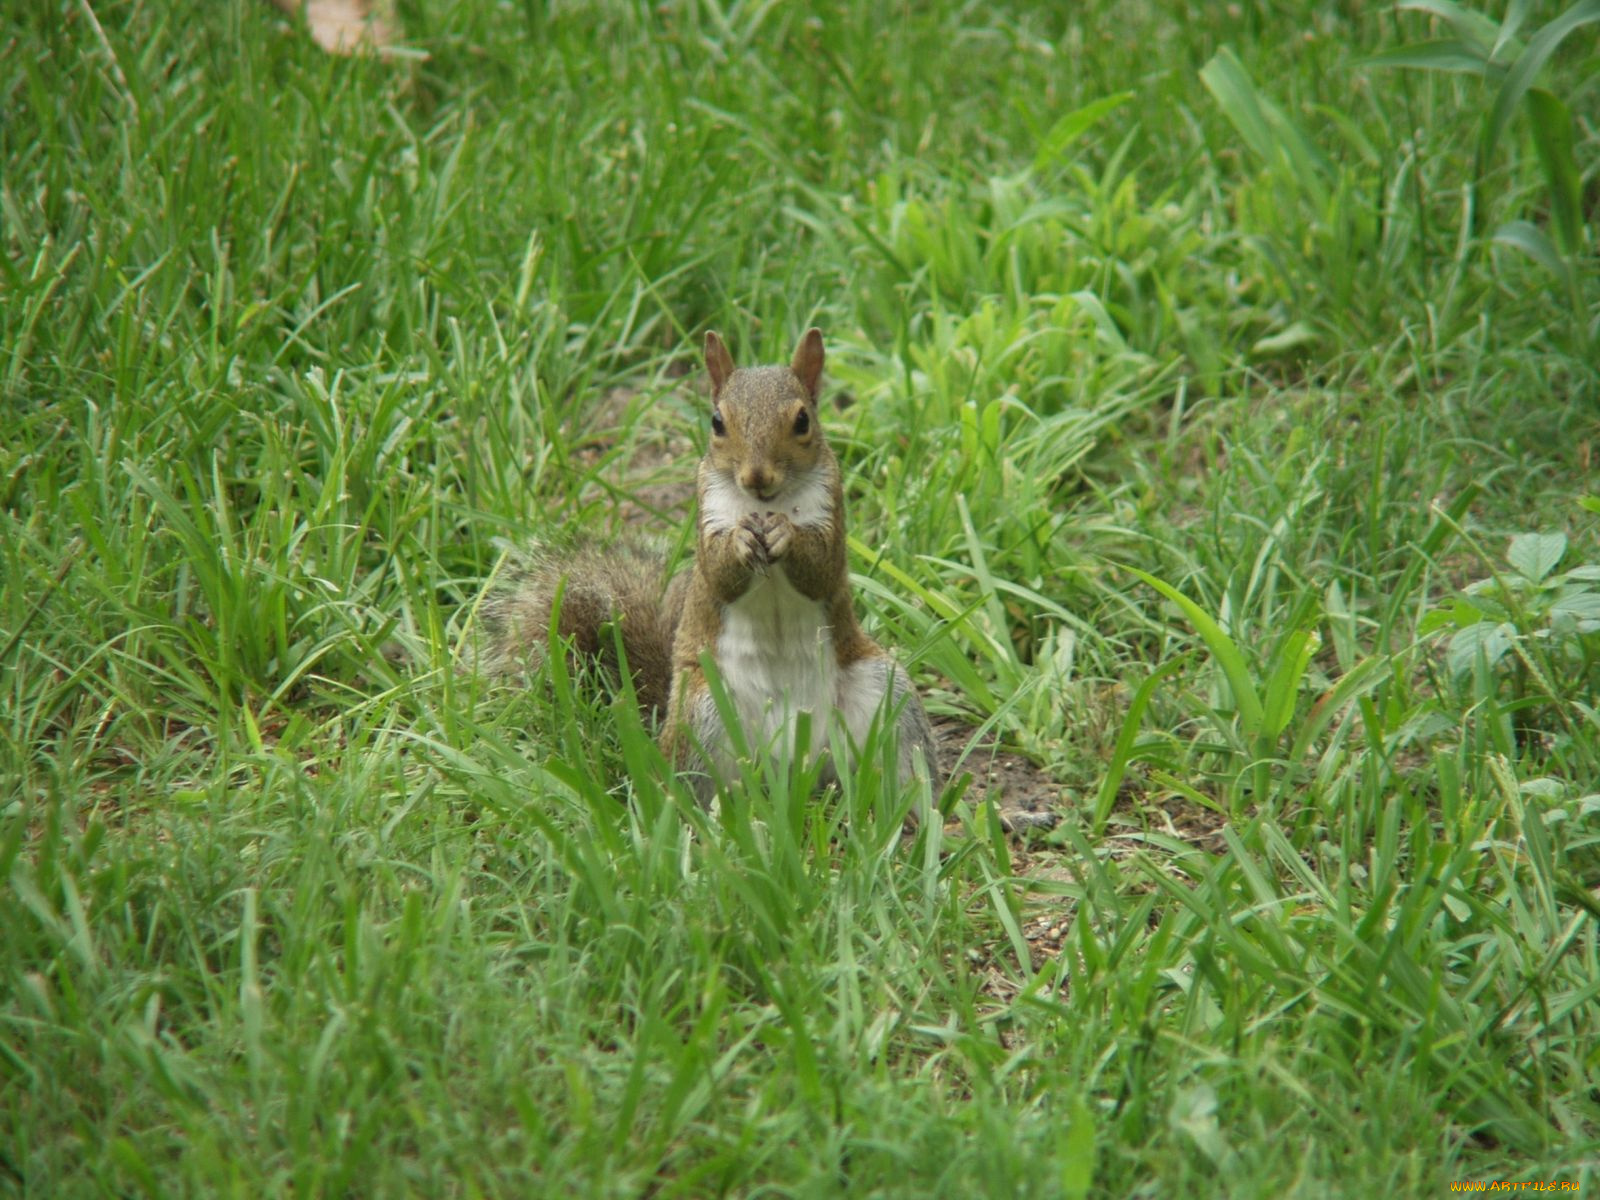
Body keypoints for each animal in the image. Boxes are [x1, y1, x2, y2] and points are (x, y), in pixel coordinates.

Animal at [480, 329, 940, 819]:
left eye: (802, 421)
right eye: (717, 422)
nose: (757, 477)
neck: (766, 505)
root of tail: (793, 766)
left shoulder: (831, 512)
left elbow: (820, 567)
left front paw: (787, 535)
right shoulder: (709, 514)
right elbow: (719, 573)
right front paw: (740, 542)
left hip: (884, 693)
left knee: (903, 763)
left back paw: (914, 816)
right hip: (702, 714)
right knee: (700, 790)